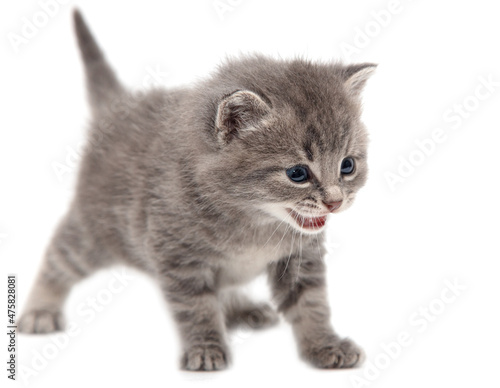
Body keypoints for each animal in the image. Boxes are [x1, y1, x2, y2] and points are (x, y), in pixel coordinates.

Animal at [19, 10, 376, 372]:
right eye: (297, 174)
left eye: (347, 166)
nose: (335, 202)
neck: (255, 222)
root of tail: (120, 106)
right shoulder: (177, 256)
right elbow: (197, 307)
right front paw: (206, 348)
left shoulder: (301, 257)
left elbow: (311, 304)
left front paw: (325, 344)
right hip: (94, 232)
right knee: (59, 256)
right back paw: (39, 309)